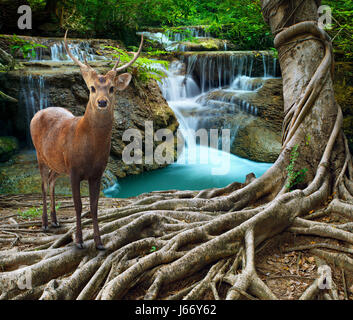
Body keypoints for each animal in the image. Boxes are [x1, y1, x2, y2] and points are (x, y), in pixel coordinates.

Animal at [29, 31, 143, 250]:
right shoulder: (74, 170)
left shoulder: (97, 172)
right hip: (39, 154)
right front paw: (79, 241)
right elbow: (78, 205)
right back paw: (45, 223)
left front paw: (99, 242)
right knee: (43, 185)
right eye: (91, 88)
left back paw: (55, 221)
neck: (89, 148)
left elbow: (94, 206)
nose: (102, 102)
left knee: (52, 181)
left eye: (112, 88)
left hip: (58, 163)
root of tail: (37, 113)